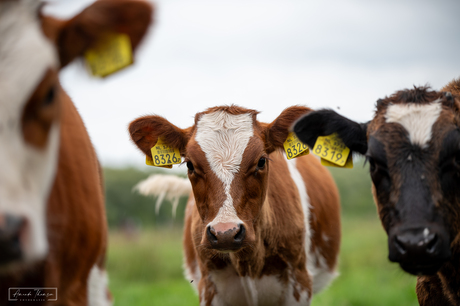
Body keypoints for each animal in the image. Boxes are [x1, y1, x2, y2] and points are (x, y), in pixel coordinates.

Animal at [129, 106, 342, 306]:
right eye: (190, 165)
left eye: (261, 161)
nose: (225, 233)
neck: (248, 264)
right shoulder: (208, 287)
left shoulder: (300, 283)